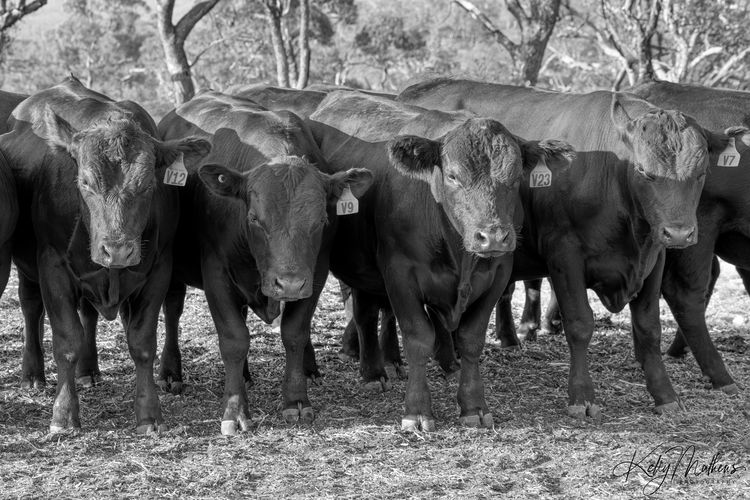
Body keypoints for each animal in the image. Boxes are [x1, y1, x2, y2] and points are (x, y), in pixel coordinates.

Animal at [1, 76, 211, 433]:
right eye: (85, 182)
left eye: (147, 184)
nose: (117, 249)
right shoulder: (52, 266)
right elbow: (66, 342)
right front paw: (63, 414)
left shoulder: (158, 269)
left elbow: (142, 343)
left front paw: (148, 413)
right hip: (28, 267)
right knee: (31, 307)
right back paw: (33, 374)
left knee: (89, 313)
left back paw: (89, 371)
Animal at [157, 91, 373, 435]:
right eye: (255, 219)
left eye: (321, 220)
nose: (289, 283)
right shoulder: (216, 272)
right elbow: (234, 339)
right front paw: (234, 410)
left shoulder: (316, 272)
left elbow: (294, 333)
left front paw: (296, 400)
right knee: (173, 311)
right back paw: (170, 373)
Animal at [239, 87, 574, 430]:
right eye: (453, 176)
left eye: (515, 176)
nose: (492, 236)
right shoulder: (400, 273)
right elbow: (417, 337)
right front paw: (417, 410)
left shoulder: (498, 272)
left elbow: (470, 338)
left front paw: (473, 406)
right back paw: (344, 371)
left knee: (367, 311)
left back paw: (387, 367)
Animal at [399, 78, 737, 417]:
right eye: (643, 170)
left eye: (702, 172)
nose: (679, 233)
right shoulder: (565, 254)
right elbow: (580, 324)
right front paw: (582, 396)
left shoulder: (654, 256)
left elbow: (649, 328)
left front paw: (664, 394)